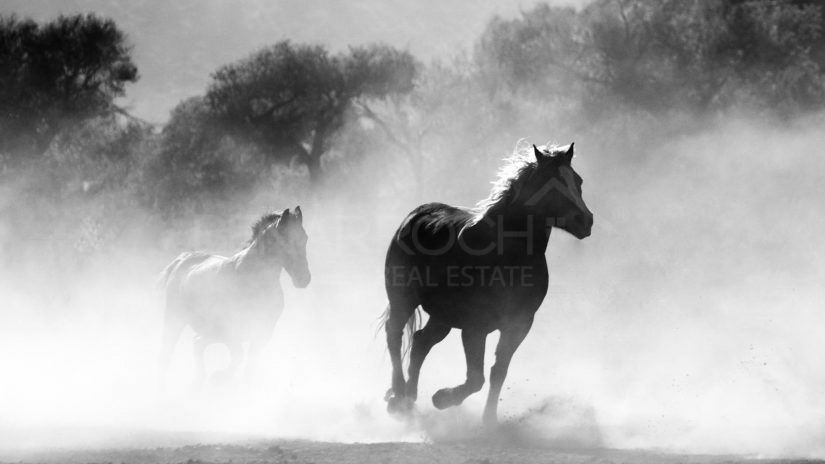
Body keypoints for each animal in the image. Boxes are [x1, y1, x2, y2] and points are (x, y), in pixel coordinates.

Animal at [384, 142, 588, 424]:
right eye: (551, 183)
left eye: (578, 181)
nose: (586, 221)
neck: (507, 254)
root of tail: (415, 215)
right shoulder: (475, 327)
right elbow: (475, 379)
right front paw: (442, 398)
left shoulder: (519, 324)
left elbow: (497, 372)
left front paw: (489, 420)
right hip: (402, 299)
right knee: (394, 335)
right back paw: (398, 396)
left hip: (443, 316)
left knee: (421, 342)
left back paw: (409, 398)